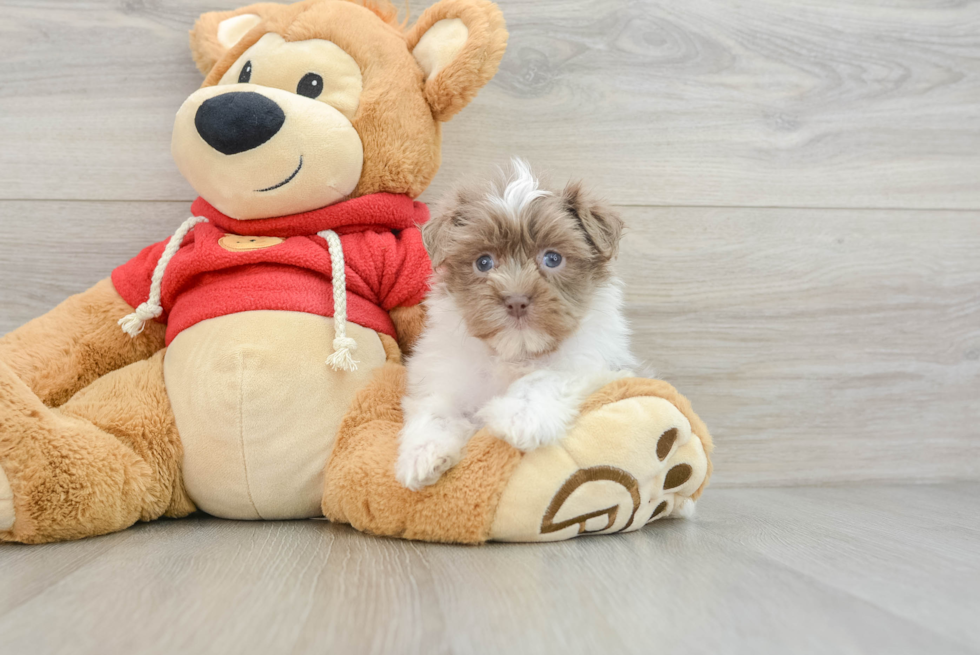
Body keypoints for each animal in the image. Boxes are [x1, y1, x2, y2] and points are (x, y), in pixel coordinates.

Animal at [394, 160, 640, 492]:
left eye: (553, 258)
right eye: (483, 263)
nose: (516, 300)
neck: (515, 352)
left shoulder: (599, 365)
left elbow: (547, 376)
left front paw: (521, 417)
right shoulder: (445, 375)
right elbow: (436, 409)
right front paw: (422, 453)